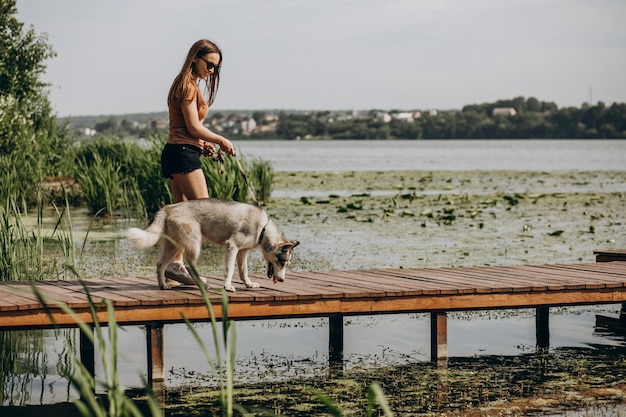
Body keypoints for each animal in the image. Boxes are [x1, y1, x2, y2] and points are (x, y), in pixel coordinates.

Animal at [125, 197, 298, 290]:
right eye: (282, 262)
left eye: (287, 264)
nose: (282, 280)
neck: (263, 229)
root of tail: (168, 207)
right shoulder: (232, 247)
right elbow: (230, 270)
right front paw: (227, 286)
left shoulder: (242, 253)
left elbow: (244, 271)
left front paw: (248, 284)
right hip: (194, 244)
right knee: (189, 266)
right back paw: (202, 284)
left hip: (174, 246)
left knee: (160, 264)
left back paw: (163, 285)